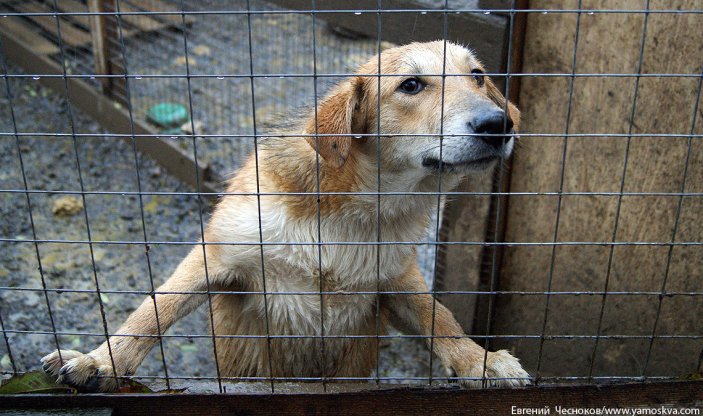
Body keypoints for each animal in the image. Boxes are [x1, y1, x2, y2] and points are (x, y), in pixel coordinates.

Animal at [40, 40, 528, 392]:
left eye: (479, 77)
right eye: (410, 85)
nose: (498, 124)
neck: (347, 209)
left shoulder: (397, 280)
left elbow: (440, 318)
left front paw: (479, 361)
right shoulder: (216, 258)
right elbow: (152, 312)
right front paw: (102, 362)